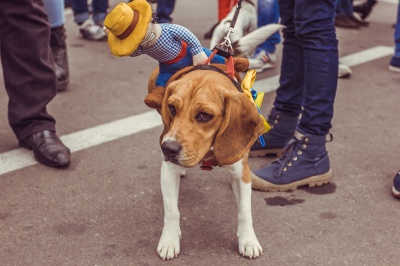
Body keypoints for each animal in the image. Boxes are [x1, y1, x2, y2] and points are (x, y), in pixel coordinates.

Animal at [148, 64, 264, 260]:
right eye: (172, 108)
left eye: (204, 115)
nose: (168, 149)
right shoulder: (168, 169)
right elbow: (172, 211)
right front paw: (169, 240)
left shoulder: (242, 173)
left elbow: (244, 211)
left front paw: (248, 240)